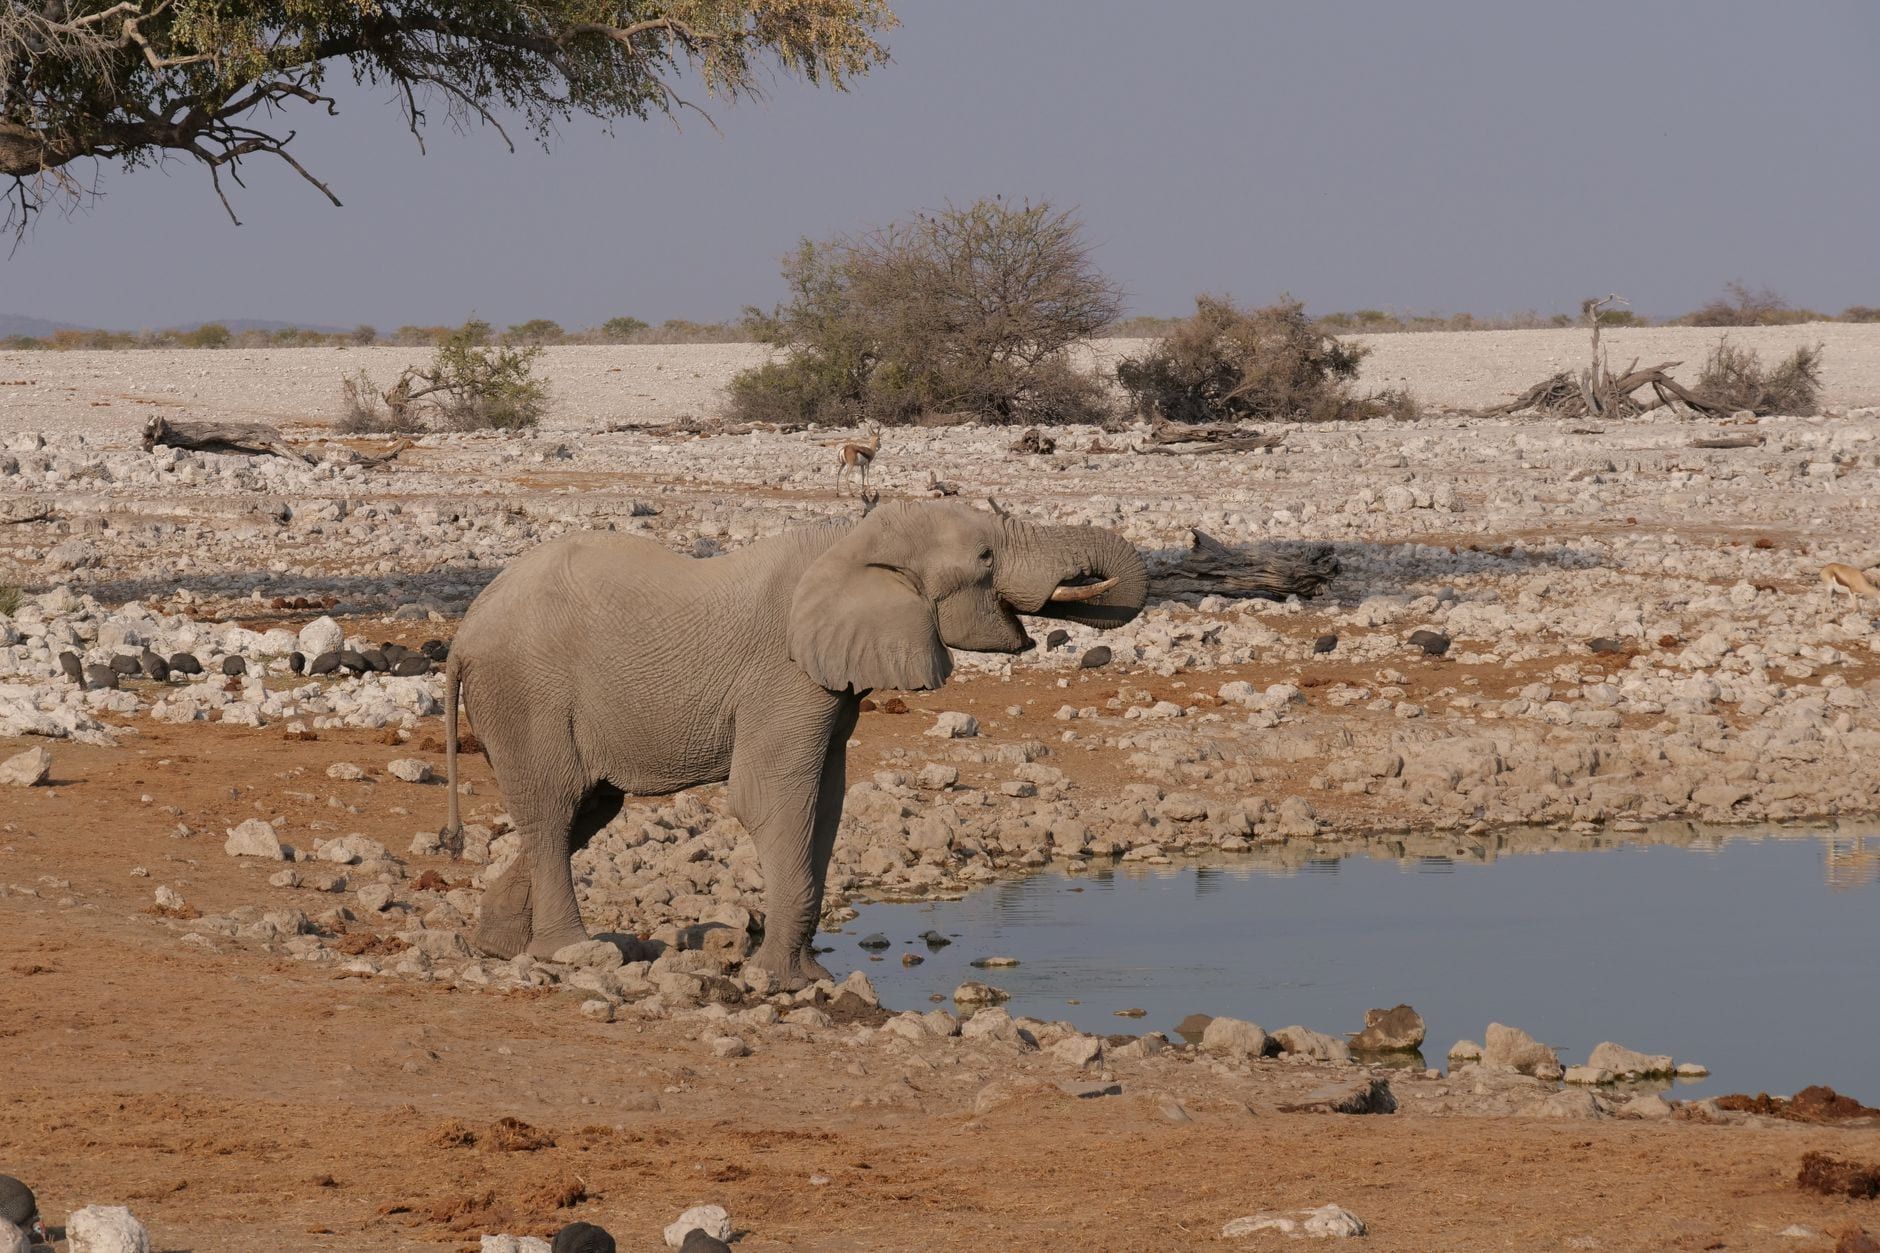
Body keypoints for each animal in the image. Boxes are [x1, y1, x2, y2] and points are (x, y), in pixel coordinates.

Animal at [441, 498, 1148, 988]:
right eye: (983, 560)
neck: (854, 539)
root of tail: (464, 631)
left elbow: (826, 802)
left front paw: (809, 977)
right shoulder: (784, 676)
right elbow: (773, 800)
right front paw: (783, 983)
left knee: (587, 808)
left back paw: (500, 947)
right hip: (526, 691)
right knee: (556, 808)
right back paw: (570, 953)